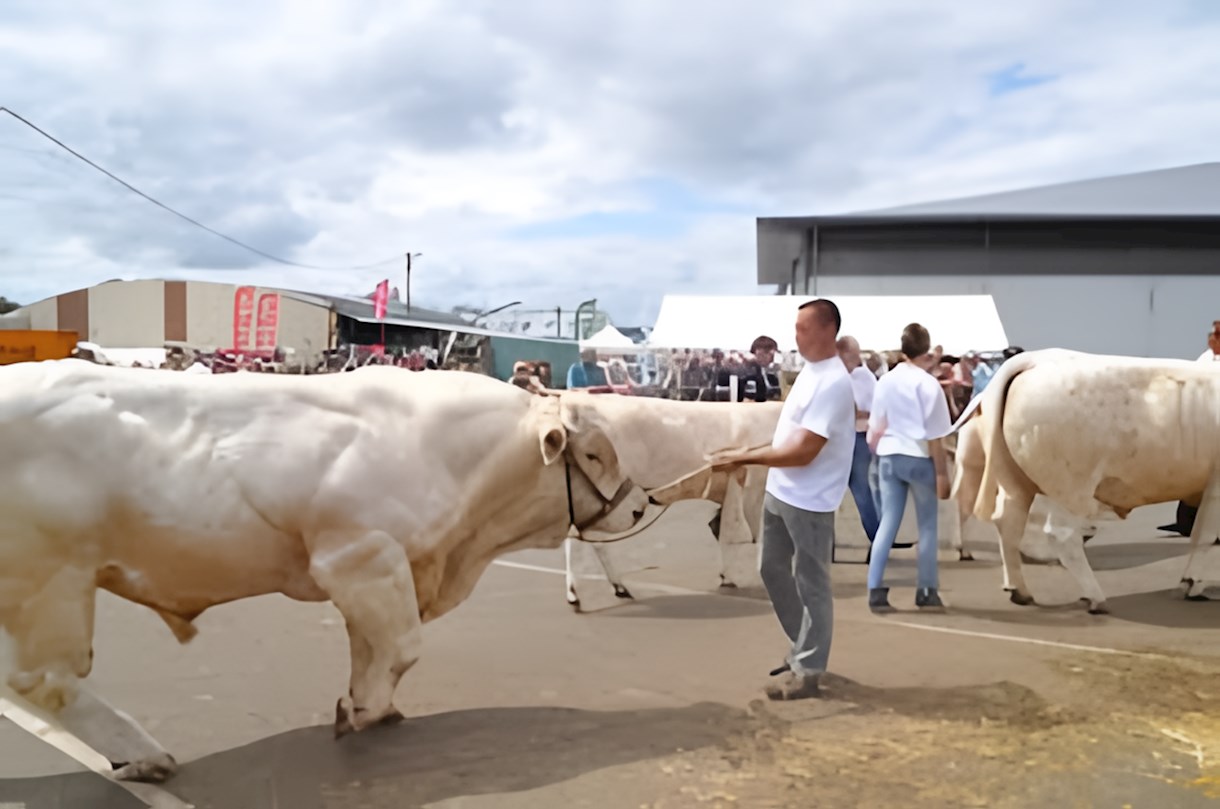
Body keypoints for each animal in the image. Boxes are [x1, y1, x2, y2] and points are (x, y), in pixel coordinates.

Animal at [2, 358, 668, 780]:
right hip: (52, 581)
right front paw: (362, 711)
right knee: (44, 680)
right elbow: (402, 647)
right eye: (594, 453)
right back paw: (142, 752)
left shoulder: (376, 569)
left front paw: (370, 703)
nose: (640, 503)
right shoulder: (359, 556)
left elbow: (371, 648)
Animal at [971, 348, 1220, 607]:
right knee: (1062, 535)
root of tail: (1037, 358)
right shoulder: (1216, 485)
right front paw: (1192, 583)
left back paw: (1019, 590)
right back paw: (1095, 597)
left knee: (1009, 524)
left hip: (1016, 482)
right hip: (1070, 488)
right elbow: (1205, 536)